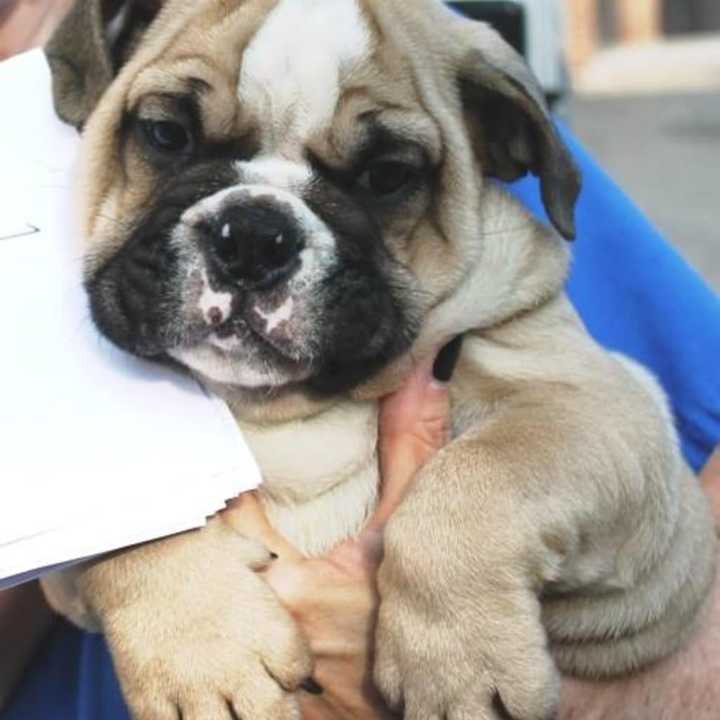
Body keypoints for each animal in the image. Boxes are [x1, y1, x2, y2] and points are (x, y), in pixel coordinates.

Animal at [42, 1, 716, 720]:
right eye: (167, 134)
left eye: (386, 176)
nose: (253, 235)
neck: (286, 408)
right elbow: (131, 520)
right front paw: (202, 657)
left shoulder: (594, 410)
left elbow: (480, 474)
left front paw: (457, 662)